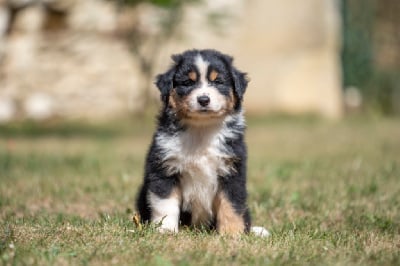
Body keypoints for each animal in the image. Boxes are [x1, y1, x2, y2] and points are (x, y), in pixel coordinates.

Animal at [135, 48, 268, 236]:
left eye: (218, 81)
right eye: (187, 83)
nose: (203, 100)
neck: (201, 129)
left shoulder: (232, 171)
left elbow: (231, 205)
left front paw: (232, 234)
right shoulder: (164, 168)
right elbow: (165, 204)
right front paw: (166, 230)